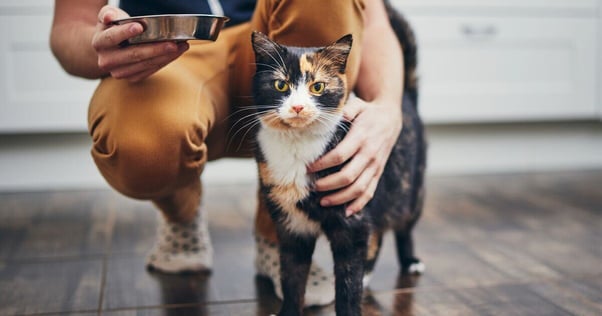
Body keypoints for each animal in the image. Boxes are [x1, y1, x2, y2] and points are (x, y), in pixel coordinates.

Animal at [248, 5, 422, 316]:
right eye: (280, 84)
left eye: (317, 87)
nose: (298, 106)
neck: (297, 147)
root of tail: (405, 97)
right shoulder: (291, 226)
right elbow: (292, 276)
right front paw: (288, 310)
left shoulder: (351, 221)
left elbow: (348, 283)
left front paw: (351, 302)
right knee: (376, 236)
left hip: (409, 190)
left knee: (403, 226)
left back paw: (409, 260)